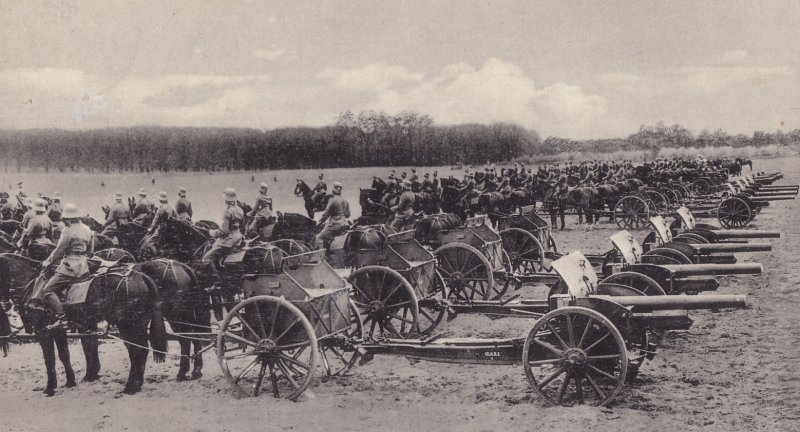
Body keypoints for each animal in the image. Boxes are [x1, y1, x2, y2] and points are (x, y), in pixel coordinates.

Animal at [0, 255, 167, 396]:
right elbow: (64, 355)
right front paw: (70, 381)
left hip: (127, 326)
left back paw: (130, 387)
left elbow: (49, 359)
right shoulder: (58, 331)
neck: (33, 285)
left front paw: (50, 387)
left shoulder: (42, 331)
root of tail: (141, 276)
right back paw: (136, 384)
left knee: (137, 351)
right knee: (141, 351)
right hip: (137, 326)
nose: (6, 306)